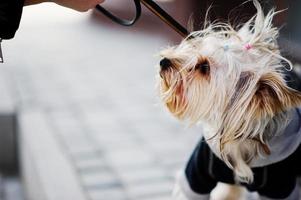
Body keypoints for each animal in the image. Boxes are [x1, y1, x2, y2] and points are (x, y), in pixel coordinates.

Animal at [157, 0, 300, 199]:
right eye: (195, 47)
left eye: (204, 67)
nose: (164, 61)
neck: (237, 137)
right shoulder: (198, 171)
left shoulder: (281, 185)